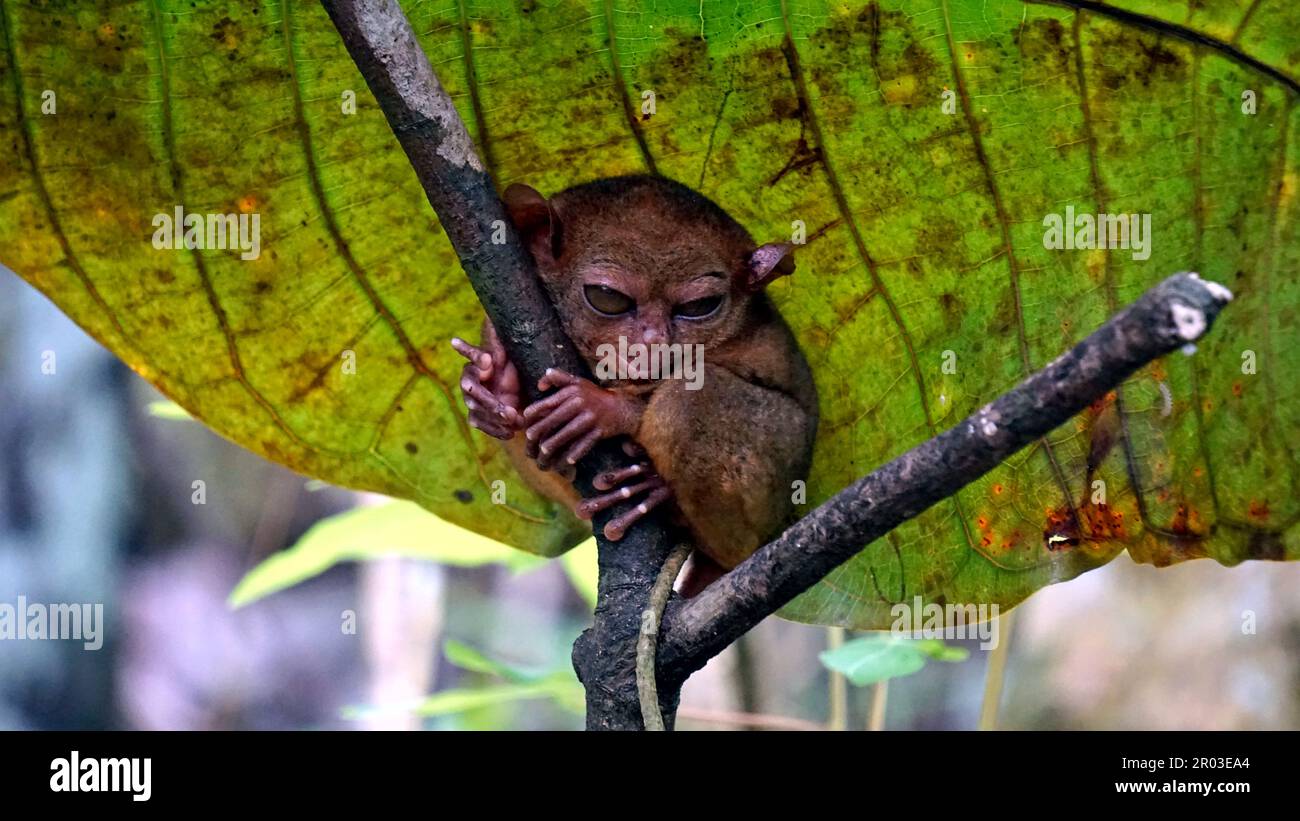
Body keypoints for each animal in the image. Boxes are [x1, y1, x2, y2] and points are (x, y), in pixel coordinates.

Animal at [451, 174, 818, 597]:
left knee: (689, 399)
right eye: (608, 298)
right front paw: (493, 386)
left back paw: (657, 493)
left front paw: (598, 410)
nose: (653, 343)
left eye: (698, 307)